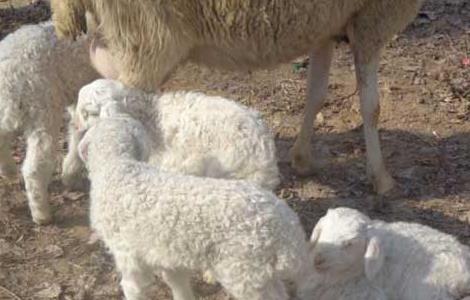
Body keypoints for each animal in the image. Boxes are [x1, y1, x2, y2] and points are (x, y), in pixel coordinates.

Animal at [0, 21, 98, 224]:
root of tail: (9, 76)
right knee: (34, 168)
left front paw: (70, 175)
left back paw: (8, 170)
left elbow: (77, 133)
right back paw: (42, 214)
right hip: (42, 112)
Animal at [77, 113, 312, 300]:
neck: (117, 166)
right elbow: (178, 283)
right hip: (262, 272)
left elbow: (134, 288)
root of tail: (288, 229)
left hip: (244, 270)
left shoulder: (128, 254)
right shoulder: (168, 255)